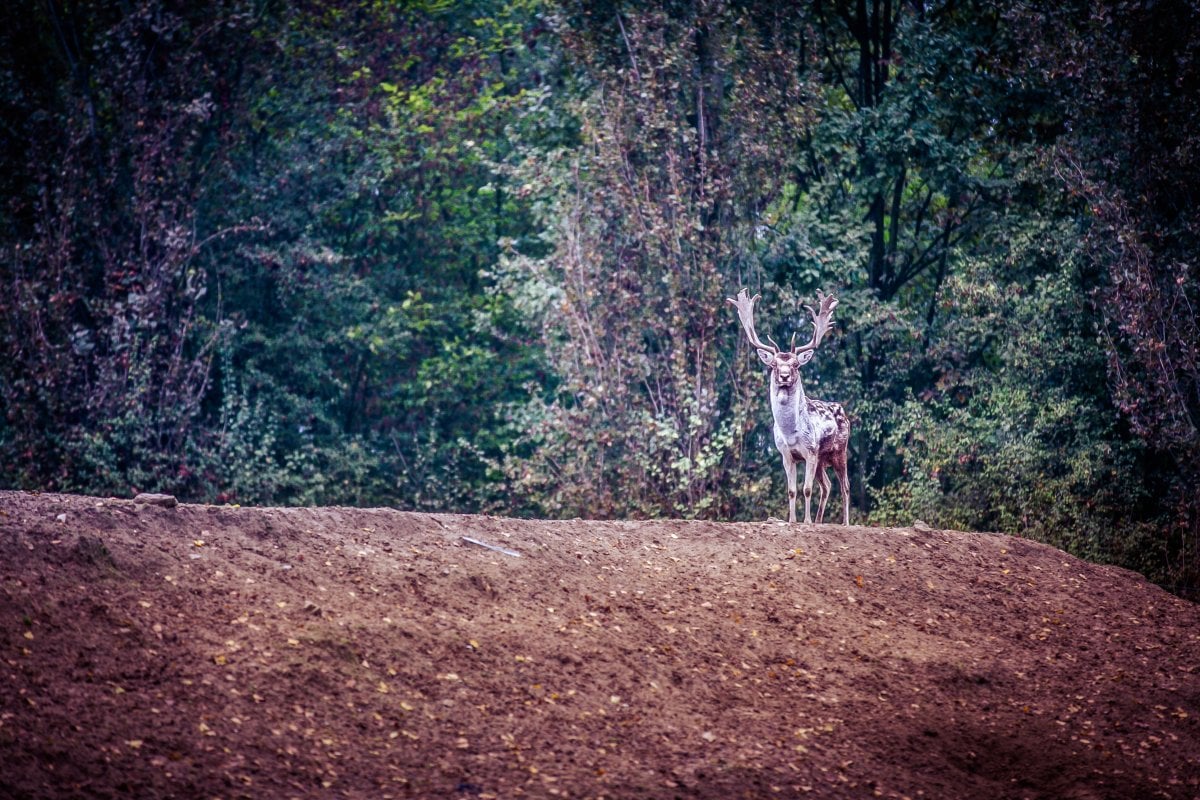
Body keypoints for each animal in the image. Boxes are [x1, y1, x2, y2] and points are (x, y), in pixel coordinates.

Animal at [724, 287, 849, 525]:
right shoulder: (786, 454)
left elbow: (807, 489)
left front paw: (806, 522)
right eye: (773, 364)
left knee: (845, 486)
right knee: (827, 485)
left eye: (796, 364)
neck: (790, 433)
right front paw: (792, 521)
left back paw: (845, 523)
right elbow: (792, 490)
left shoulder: (810, 451)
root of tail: (845, 413)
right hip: (822, 460)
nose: (783, 376)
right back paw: (819, 521)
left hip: (839, 450)